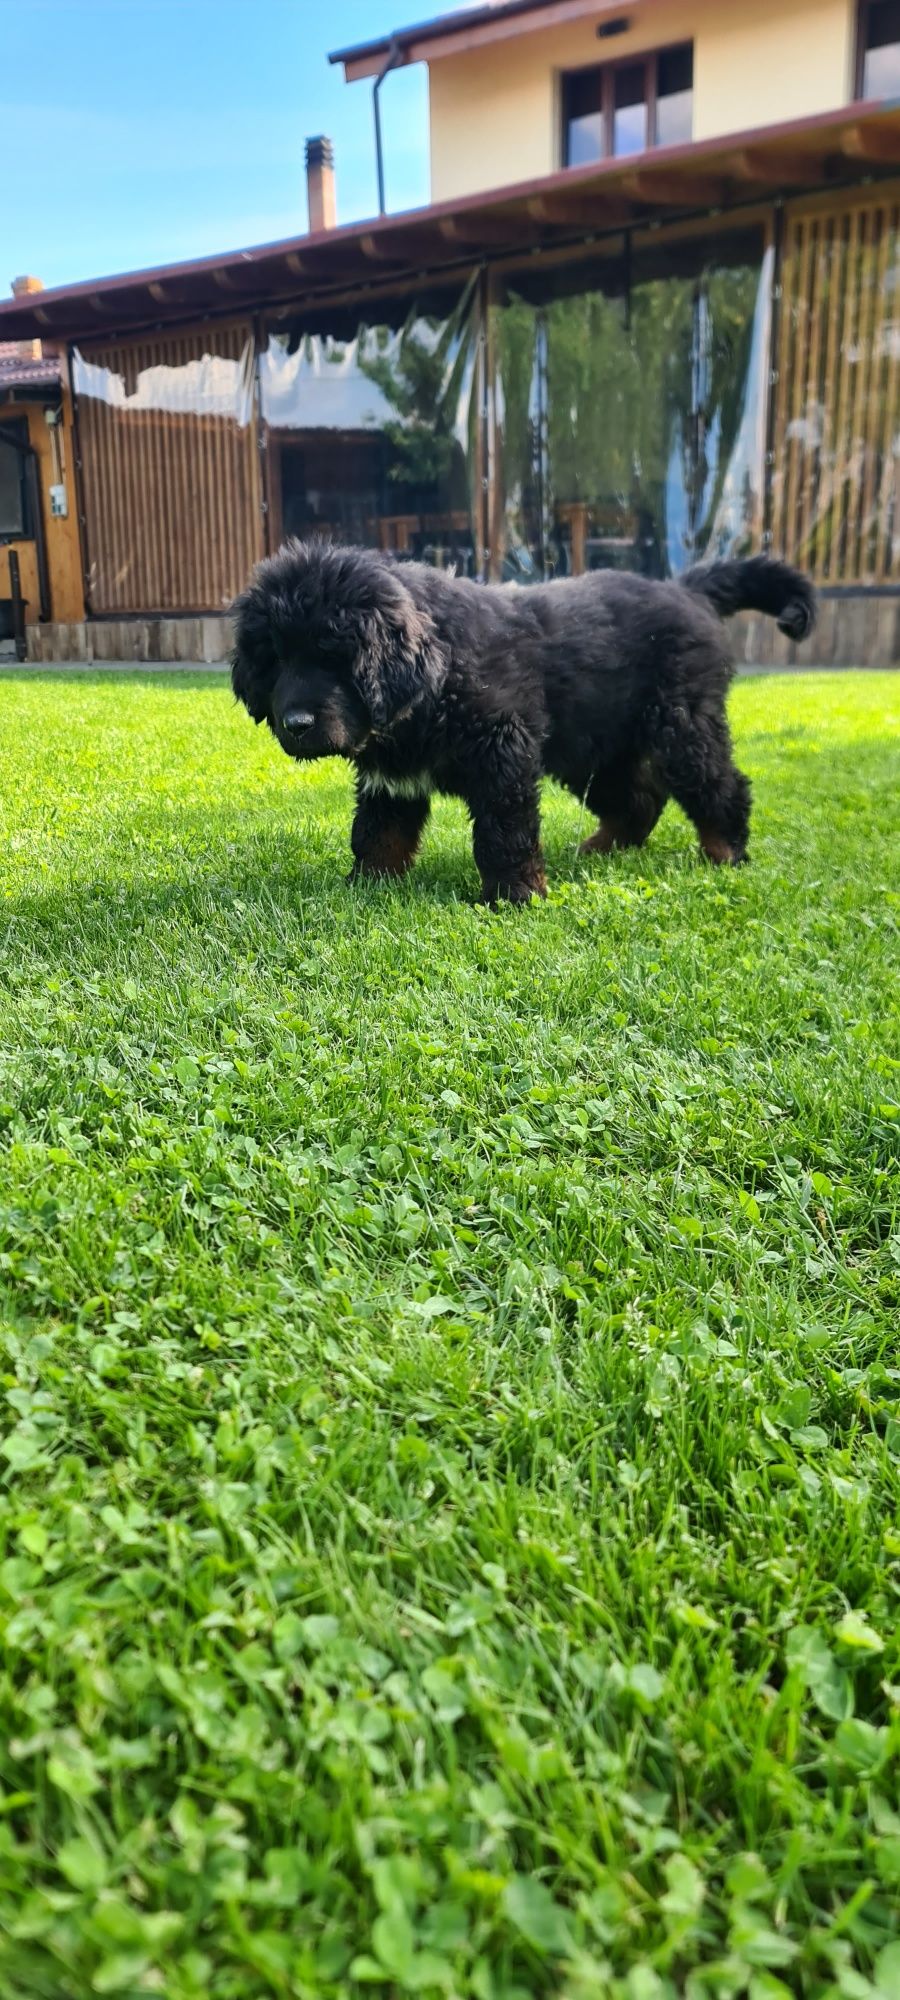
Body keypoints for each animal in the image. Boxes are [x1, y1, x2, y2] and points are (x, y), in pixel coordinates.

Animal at [230, 536, 816, 904]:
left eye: (334, 656)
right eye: (275, 659)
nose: (295, 723)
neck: (431, 685)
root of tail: (685, 588)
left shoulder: (501, 751)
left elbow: (503, 832)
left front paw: (514, 895)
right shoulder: (390, 778)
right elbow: (377, 835)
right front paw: (366, 885)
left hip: (682, 725)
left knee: (720, 786)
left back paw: (726, 852)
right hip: (593, 750)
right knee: (639, 799)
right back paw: (599, 848)